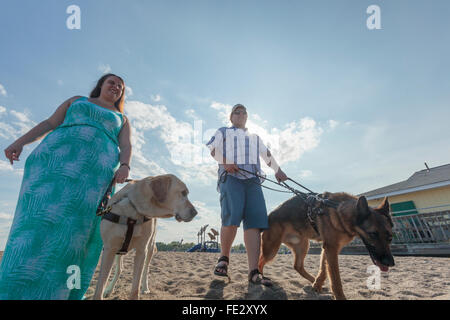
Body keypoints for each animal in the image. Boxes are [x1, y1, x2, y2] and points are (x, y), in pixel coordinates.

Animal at [258, 192, 396, 300]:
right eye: (372, 234)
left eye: (390, 237)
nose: (390, 263)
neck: (341, 212)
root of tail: (269, 215)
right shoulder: (331, 248)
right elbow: (335, 279)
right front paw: (339, 297)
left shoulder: (329, 248)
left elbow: (324, 269)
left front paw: (317, 284)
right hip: (271, 249)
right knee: (260, 261)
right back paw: (259, 279)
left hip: (303, 245)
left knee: (297, 266)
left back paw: (312, 279)